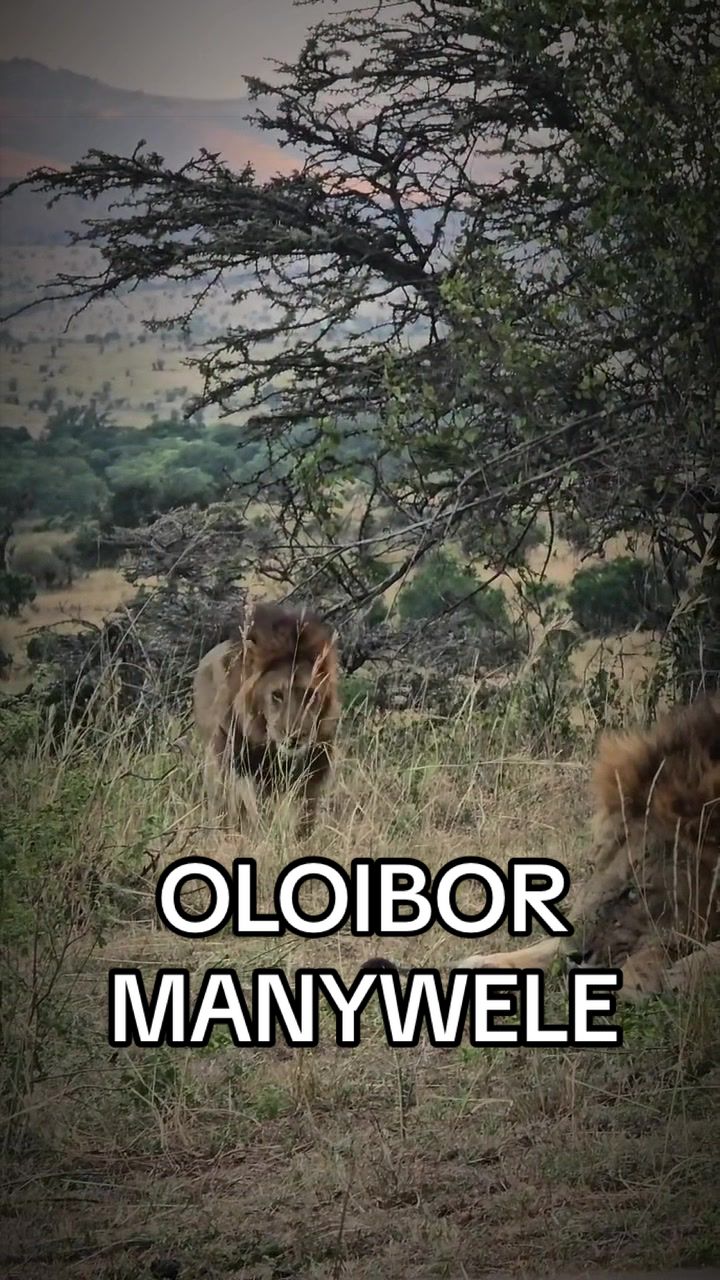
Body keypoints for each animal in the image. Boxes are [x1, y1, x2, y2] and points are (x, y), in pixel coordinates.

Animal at [192, 600, 340, 836]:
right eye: (276, 695)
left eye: (310, 695)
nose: (295, 737)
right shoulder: (247, 768)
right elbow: (258, 811)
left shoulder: (315, 770)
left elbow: (305, 816)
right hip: (218, 756)